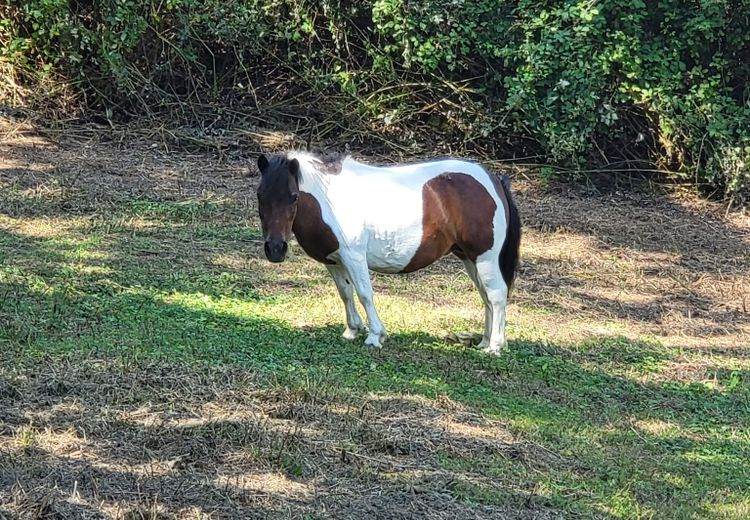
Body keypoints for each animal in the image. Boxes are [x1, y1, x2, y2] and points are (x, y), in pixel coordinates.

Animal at [256, 150, 520, 354]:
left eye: (293, 196)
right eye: (260, 195)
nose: (275, 249)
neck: (327, 200)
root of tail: (493, 180)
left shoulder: (354, 257)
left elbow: (364, 294)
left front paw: (375, 336)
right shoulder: (334, 261)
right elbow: (345, 293)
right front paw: (352, 330)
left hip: (485, 257)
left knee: (497, 295)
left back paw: (495, 346)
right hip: (469, 258)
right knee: (486, 296)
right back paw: (484, 341)